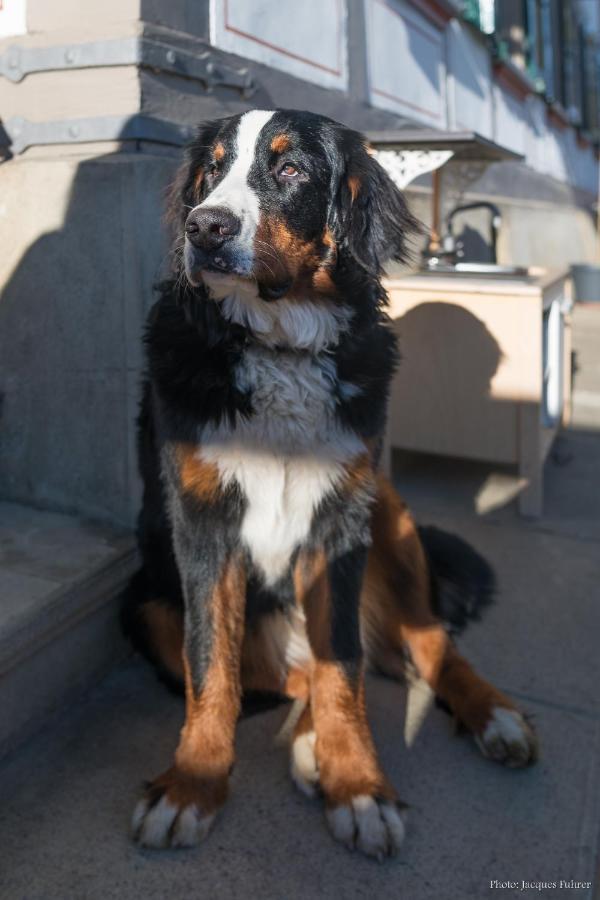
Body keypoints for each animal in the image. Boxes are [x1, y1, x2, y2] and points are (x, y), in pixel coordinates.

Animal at [122, 109, 540, 860]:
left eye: (290, 169)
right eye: (211, 169)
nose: (204, 228)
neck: (279, 347)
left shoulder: (343, 517)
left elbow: (341, 666)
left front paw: (359, 786)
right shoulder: (201, 523)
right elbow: (212, 665)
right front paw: (193, 783)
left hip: (391, 518)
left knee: (428, 645)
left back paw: (495, 717)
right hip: (143, 601)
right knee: (283, 672)